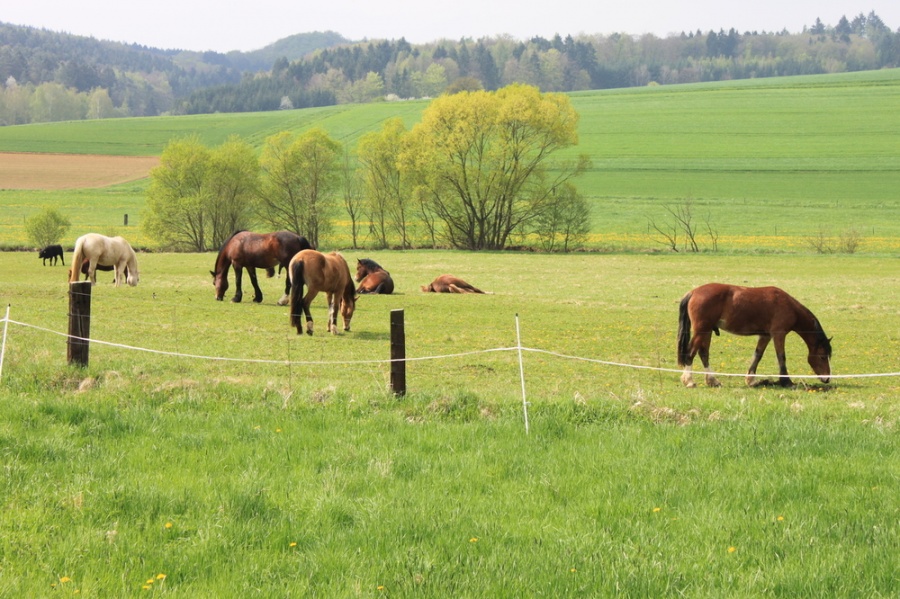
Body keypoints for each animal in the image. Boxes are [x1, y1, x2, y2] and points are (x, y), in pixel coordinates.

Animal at [680, 282, 832, 390]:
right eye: (822, 357)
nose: (827, 378)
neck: (788, 306)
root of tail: (693, 292)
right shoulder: (779, 334)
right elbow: (781, 356)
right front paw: (787, 382)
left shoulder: (765, 336)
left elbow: (758, 355)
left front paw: (750, 380)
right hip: (701, 330)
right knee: (691, 353)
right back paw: (689, 381)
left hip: (706, 331)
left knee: (703, 353)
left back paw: (713, 381)